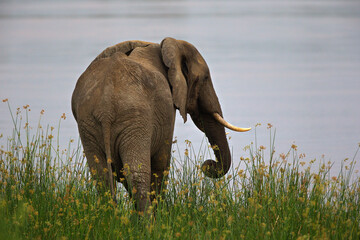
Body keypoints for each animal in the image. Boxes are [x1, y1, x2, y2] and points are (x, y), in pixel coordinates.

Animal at [70, 37, 250, 212]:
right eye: (205, 78)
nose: (208, 165)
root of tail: (105, 108)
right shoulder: (166, 112)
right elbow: (161, 164)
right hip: (135, 120)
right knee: (136, 174)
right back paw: (146, 221)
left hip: (89, 124)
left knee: (101, 175)